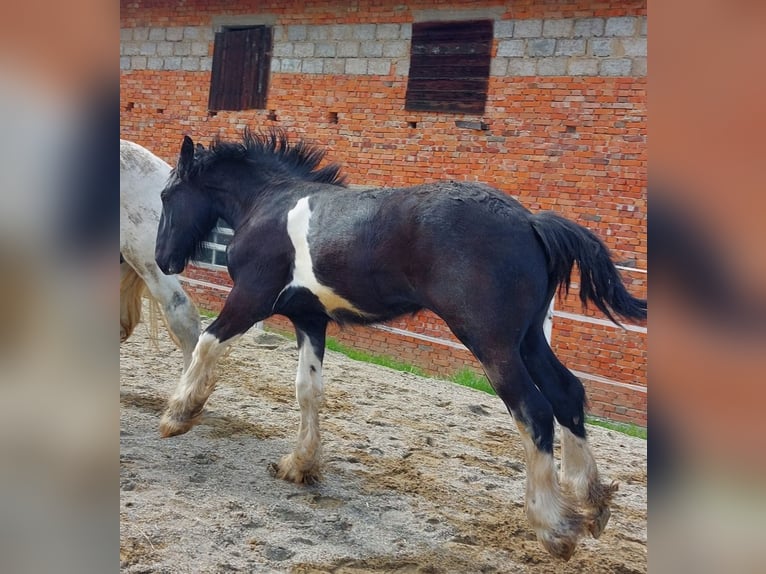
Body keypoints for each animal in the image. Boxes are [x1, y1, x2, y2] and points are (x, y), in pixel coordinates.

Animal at [156, 132, 648, 564]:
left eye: (167, 194)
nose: (164, 259)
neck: (268, 205)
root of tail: (531, 222)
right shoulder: (310, 319)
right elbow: (308, 390)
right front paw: (300, 464)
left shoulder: (251, 298)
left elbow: (206, 342)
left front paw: (178, 415)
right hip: (527, 338)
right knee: (567, 394)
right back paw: (593, 501)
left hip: (491, 341)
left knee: (534, 410)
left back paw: (553, 526)